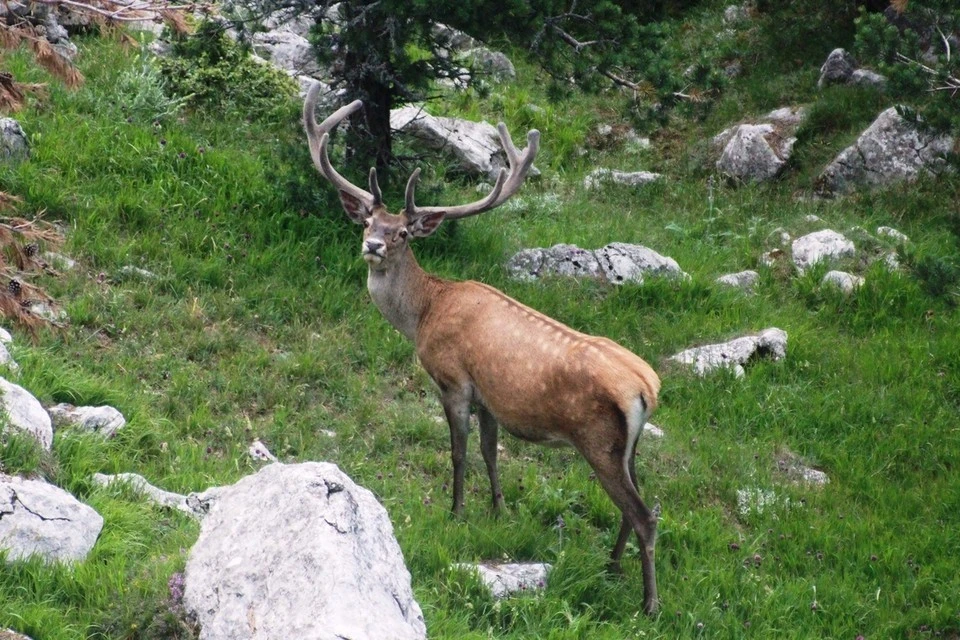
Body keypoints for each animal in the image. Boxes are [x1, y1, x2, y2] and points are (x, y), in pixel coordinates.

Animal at [304, 84, 664, 616]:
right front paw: (496, 509)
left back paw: (648, 603)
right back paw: (612, 568)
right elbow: (492, 454)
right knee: (633, 505)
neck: (424, 314)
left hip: (598, 441)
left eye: (403, 233)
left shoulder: (453, 379)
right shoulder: (491, 396)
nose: (373, 246)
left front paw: (455, 511)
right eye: (368, 220)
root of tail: (647, 387)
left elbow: (459, 453)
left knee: (645, 514)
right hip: (628, 448)